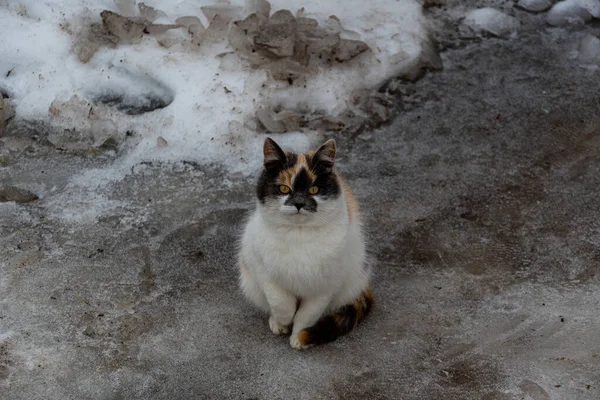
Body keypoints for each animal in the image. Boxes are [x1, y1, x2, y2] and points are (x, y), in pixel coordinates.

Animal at [238, 138, 370, 350]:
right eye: (284, 189)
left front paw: (299, 337)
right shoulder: (262, 269)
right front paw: (283, 322)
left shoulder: (326, 286)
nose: (299, 203)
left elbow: (307, 314)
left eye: (314, 189)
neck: (298, 236)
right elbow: (280, 302)